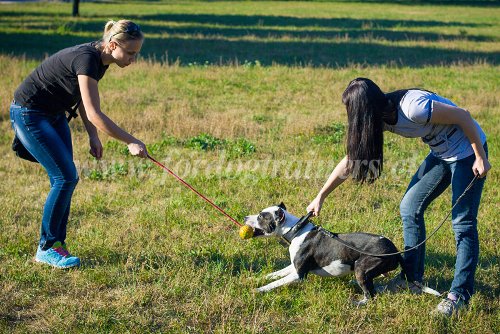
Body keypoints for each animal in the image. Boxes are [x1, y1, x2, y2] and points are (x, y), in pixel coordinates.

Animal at [242, 202, 434, 304]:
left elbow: (275, 283)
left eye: (261, 216)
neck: (296, 230)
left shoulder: (298, 274)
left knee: (370, 296)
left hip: (361, 268)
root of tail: (395, 251)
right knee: (374, 288)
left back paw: (356, 302)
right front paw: (253, 279)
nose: (244, 217)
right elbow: (274, 274)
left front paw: (258, 290)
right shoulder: (293, 267)